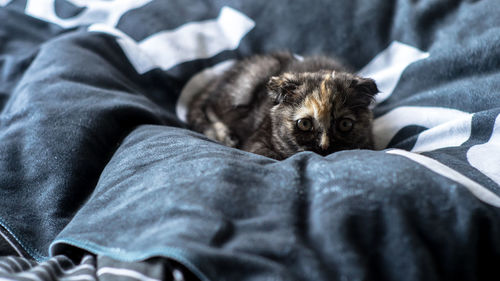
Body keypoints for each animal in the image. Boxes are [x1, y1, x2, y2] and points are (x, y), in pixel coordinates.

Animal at [188, 51, 378, 159]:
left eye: (345, 124)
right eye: (304, 124)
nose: (324, 147)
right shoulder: (256, 141)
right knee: (211, 107)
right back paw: (225, 134)